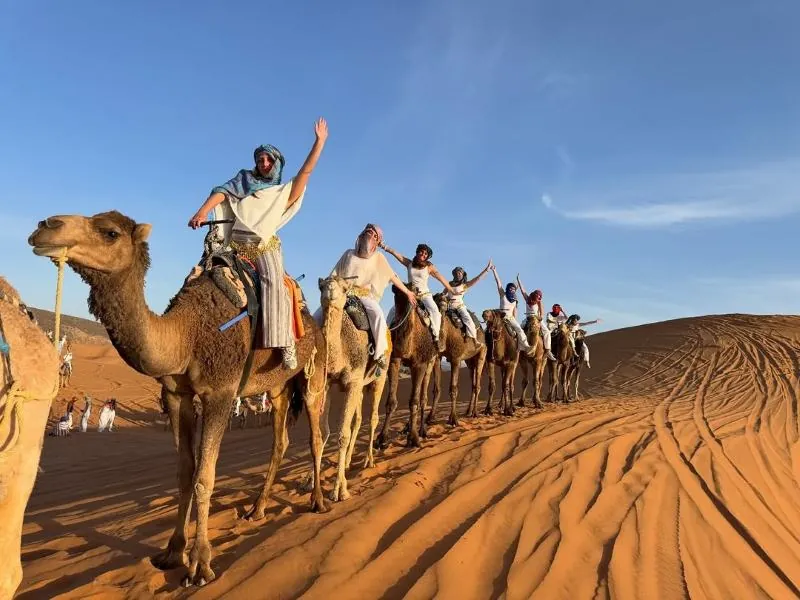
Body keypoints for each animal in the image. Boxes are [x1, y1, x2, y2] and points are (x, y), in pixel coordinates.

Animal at [28, 211, 328, 587]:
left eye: (110, 233)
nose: (45, 226)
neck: (185, 335)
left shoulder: (221, 393)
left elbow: (205, 476)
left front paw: (200, 564)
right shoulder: (176, 395)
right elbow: (185, 472)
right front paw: (172, 551)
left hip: (313, 372)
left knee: (316, 435)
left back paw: (319, 501)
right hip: (278, 387)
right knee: (281, 440)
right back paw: (257, 509)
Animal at [317, 275, 388, 501]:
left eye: (344, 288)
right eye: (321, 285)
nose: (330, 290)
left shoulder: (353, 382)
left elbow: (343, 434)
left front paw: (339, 491)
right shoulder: (328, 383)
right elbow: (323, 432)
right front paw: (309, 482)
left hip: (378, 380)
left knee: (373, 417)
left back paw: (368, 460)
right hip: (360, 387)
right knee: (357, 420)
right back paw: (348, 461)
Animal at [376, 283, 439, 449]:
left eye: (413, 295)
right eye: (396, 294)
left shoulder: (420, 364)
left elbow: (414, 401)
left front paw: (415, 437)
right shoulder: (395, 360)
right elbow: (391, 402)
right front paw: (381, 438)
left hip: (430, 362)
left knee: (422, 398)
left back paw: (422, 430)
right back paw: (408, 428)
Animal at [426, 293, 487, 424]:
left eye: (445, 299)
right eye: (435, 298)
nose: (442, 300)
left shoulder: (456, 358)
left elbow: (453, 389)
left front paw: (453, 418)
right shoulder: (438, 358)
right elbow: (436, 388)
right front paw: (430, 417)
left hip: (482, 354)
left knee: (477, 385)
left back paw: (475, 413)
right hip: (469, 361)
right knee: (473, 383)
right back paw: (468, 411)